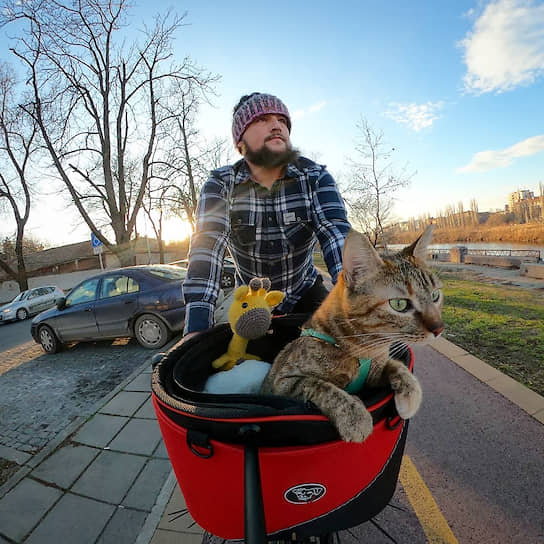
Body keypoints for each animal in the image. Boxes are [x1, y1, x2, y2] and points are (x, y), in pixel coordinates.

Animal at [262, 225, 444, 442]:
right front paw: (354, 416)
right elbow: (320, 385)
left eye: (435, 295)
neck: (360, 350)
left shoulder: (375, 373)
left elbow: (397, 366)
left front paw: (411, 393)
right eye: (400, 304)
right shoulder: (282, 384)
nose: (439, 328)